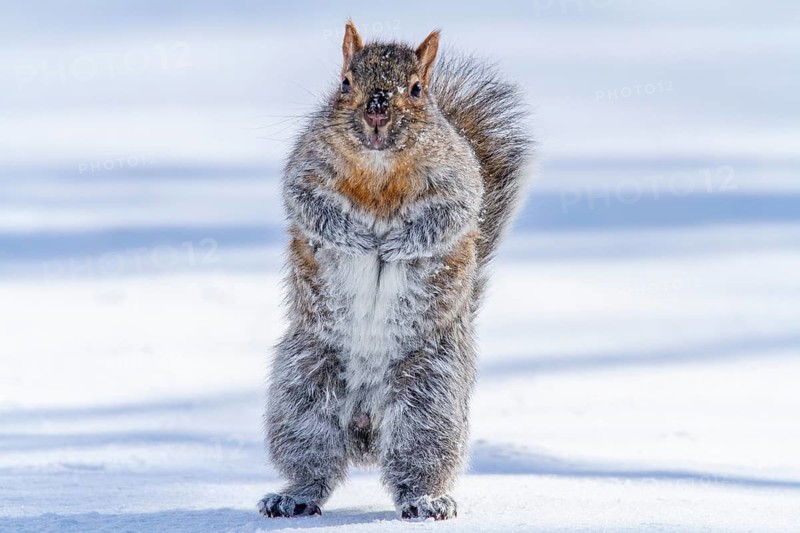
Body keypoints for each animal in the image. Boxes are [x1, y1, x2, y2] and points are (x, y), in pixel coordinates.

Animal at [259, 20, 530, 521]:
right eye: (346, 82)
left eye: (417, 89)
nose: (377, 110)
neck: (379, 170)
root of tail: (366, 427)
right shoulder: (305, 168)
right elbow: (309, 204)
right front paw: (355, 237)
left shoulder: (459, 180)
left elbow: (449, 215)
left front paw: (399, 243)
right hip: (302, 389)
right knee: (313, 459)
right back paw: (293, 497)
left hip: (430, 395)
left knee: (417, 457)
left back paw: (426, 501)